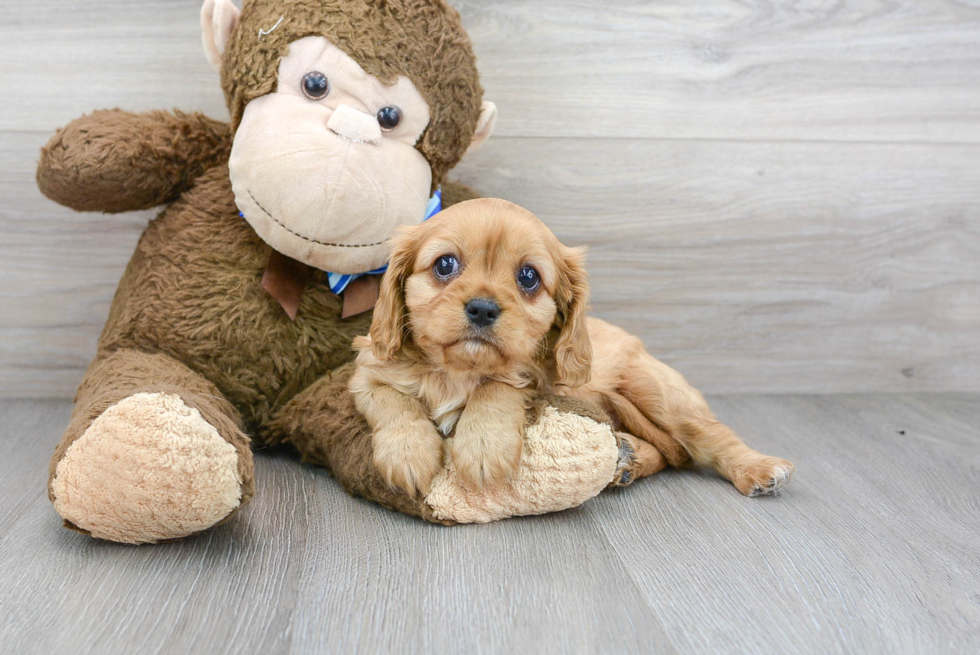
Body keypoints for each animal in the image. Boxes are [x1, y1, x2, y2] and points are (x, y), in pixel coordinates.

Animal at [352, 200, 796, 498]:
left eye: (528, 277)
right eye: (444, 265)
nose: (482, 308)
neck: (458, 370)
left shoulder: (537, 381)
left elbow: (497, 388)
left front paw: (482, 448)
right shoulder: (366, 374)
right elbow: (395, 404)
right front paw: (408, 456)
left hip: (660, 395)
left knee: (704, 440)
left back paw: (758, 468)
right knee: (672, 453)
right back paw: (629, 458)